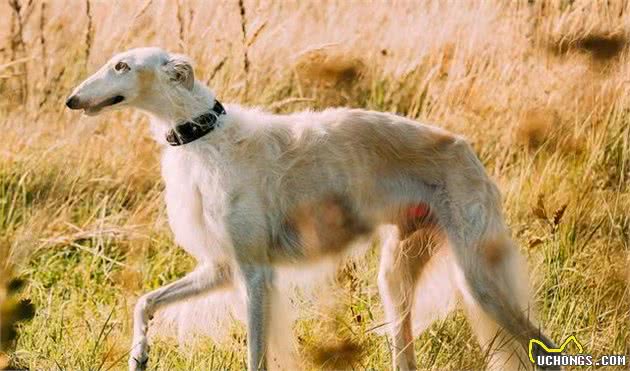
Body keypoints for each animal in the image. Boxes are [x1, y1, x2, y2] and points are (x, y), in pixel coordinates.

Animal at [65, 48, 556, 370]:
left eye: (122, 66)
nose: (72, 100)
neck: (204, 135)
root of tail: (465, 148)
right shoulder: (221, 268)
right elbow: (144, 302)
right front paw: (139, 354)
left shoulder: (255, 274)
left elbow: (255, 355)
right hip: (396, 277)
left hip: (480, 280)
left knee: (541, 342)